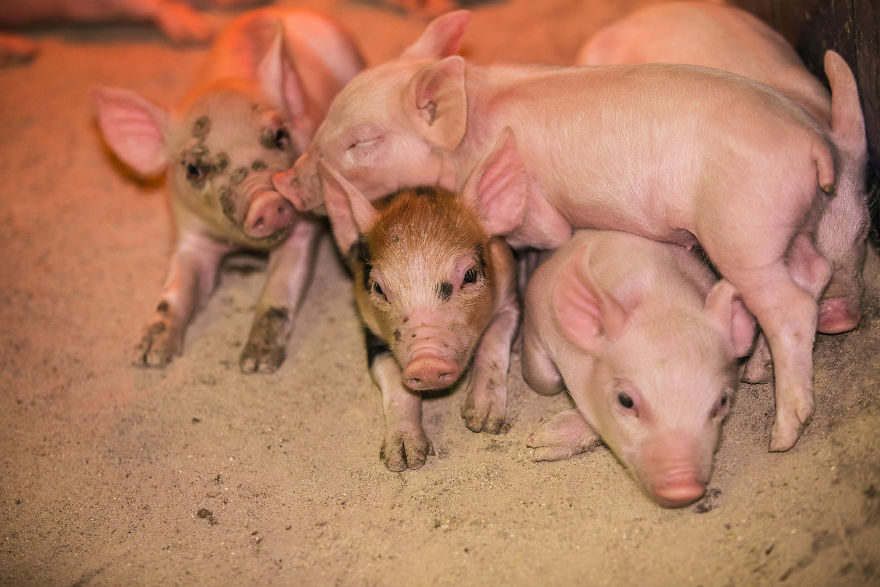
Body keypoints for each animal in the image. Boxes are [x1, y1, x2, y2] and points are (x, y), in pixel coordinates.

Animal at [93, 7, 365, 372]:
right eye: (193, 169)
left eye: (280, 135)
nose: (266, 200)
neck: (238, 245)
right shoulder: (190, 234)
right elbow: (175, 290)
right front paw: (148, 357)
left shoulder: (302, 230)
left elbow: (280, 288)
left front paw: (256, 364)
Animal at [318, 146, 520, 471]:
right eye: (378, 288)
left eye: (470, 275)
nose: (427, 363)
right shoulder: (369, 332)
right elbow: (395, 385)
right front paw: (405, 460)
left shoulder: (512, 296)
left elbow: (494, 341)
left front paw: (482, 422)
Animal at [522, 229, 756, 508]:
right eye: (625, 400)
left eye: (722, 402)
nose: (683, 489)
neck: (662, 297)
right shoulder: (535, 306)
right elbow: (545, 381)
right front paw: (534, 444)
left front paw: (541, 443)